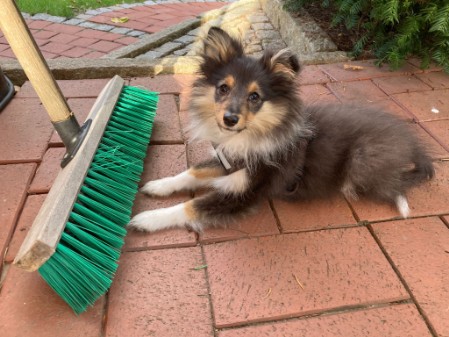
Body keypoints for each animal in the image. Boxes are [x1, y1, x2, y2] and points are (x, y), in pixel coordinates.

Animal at [127, 27, 434, 232]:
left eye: (255, 96)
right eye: (223, 88)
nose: (229, 119)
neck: (249, 137)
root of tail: (411, 142)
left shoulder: (244, 193)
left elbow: (191, 206)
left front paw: (146, 219)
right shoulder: (227, 161)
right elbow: (193, 171)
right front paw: (157, 185)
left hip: (363, 159)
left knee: (393, 184)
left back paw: (399, 201)